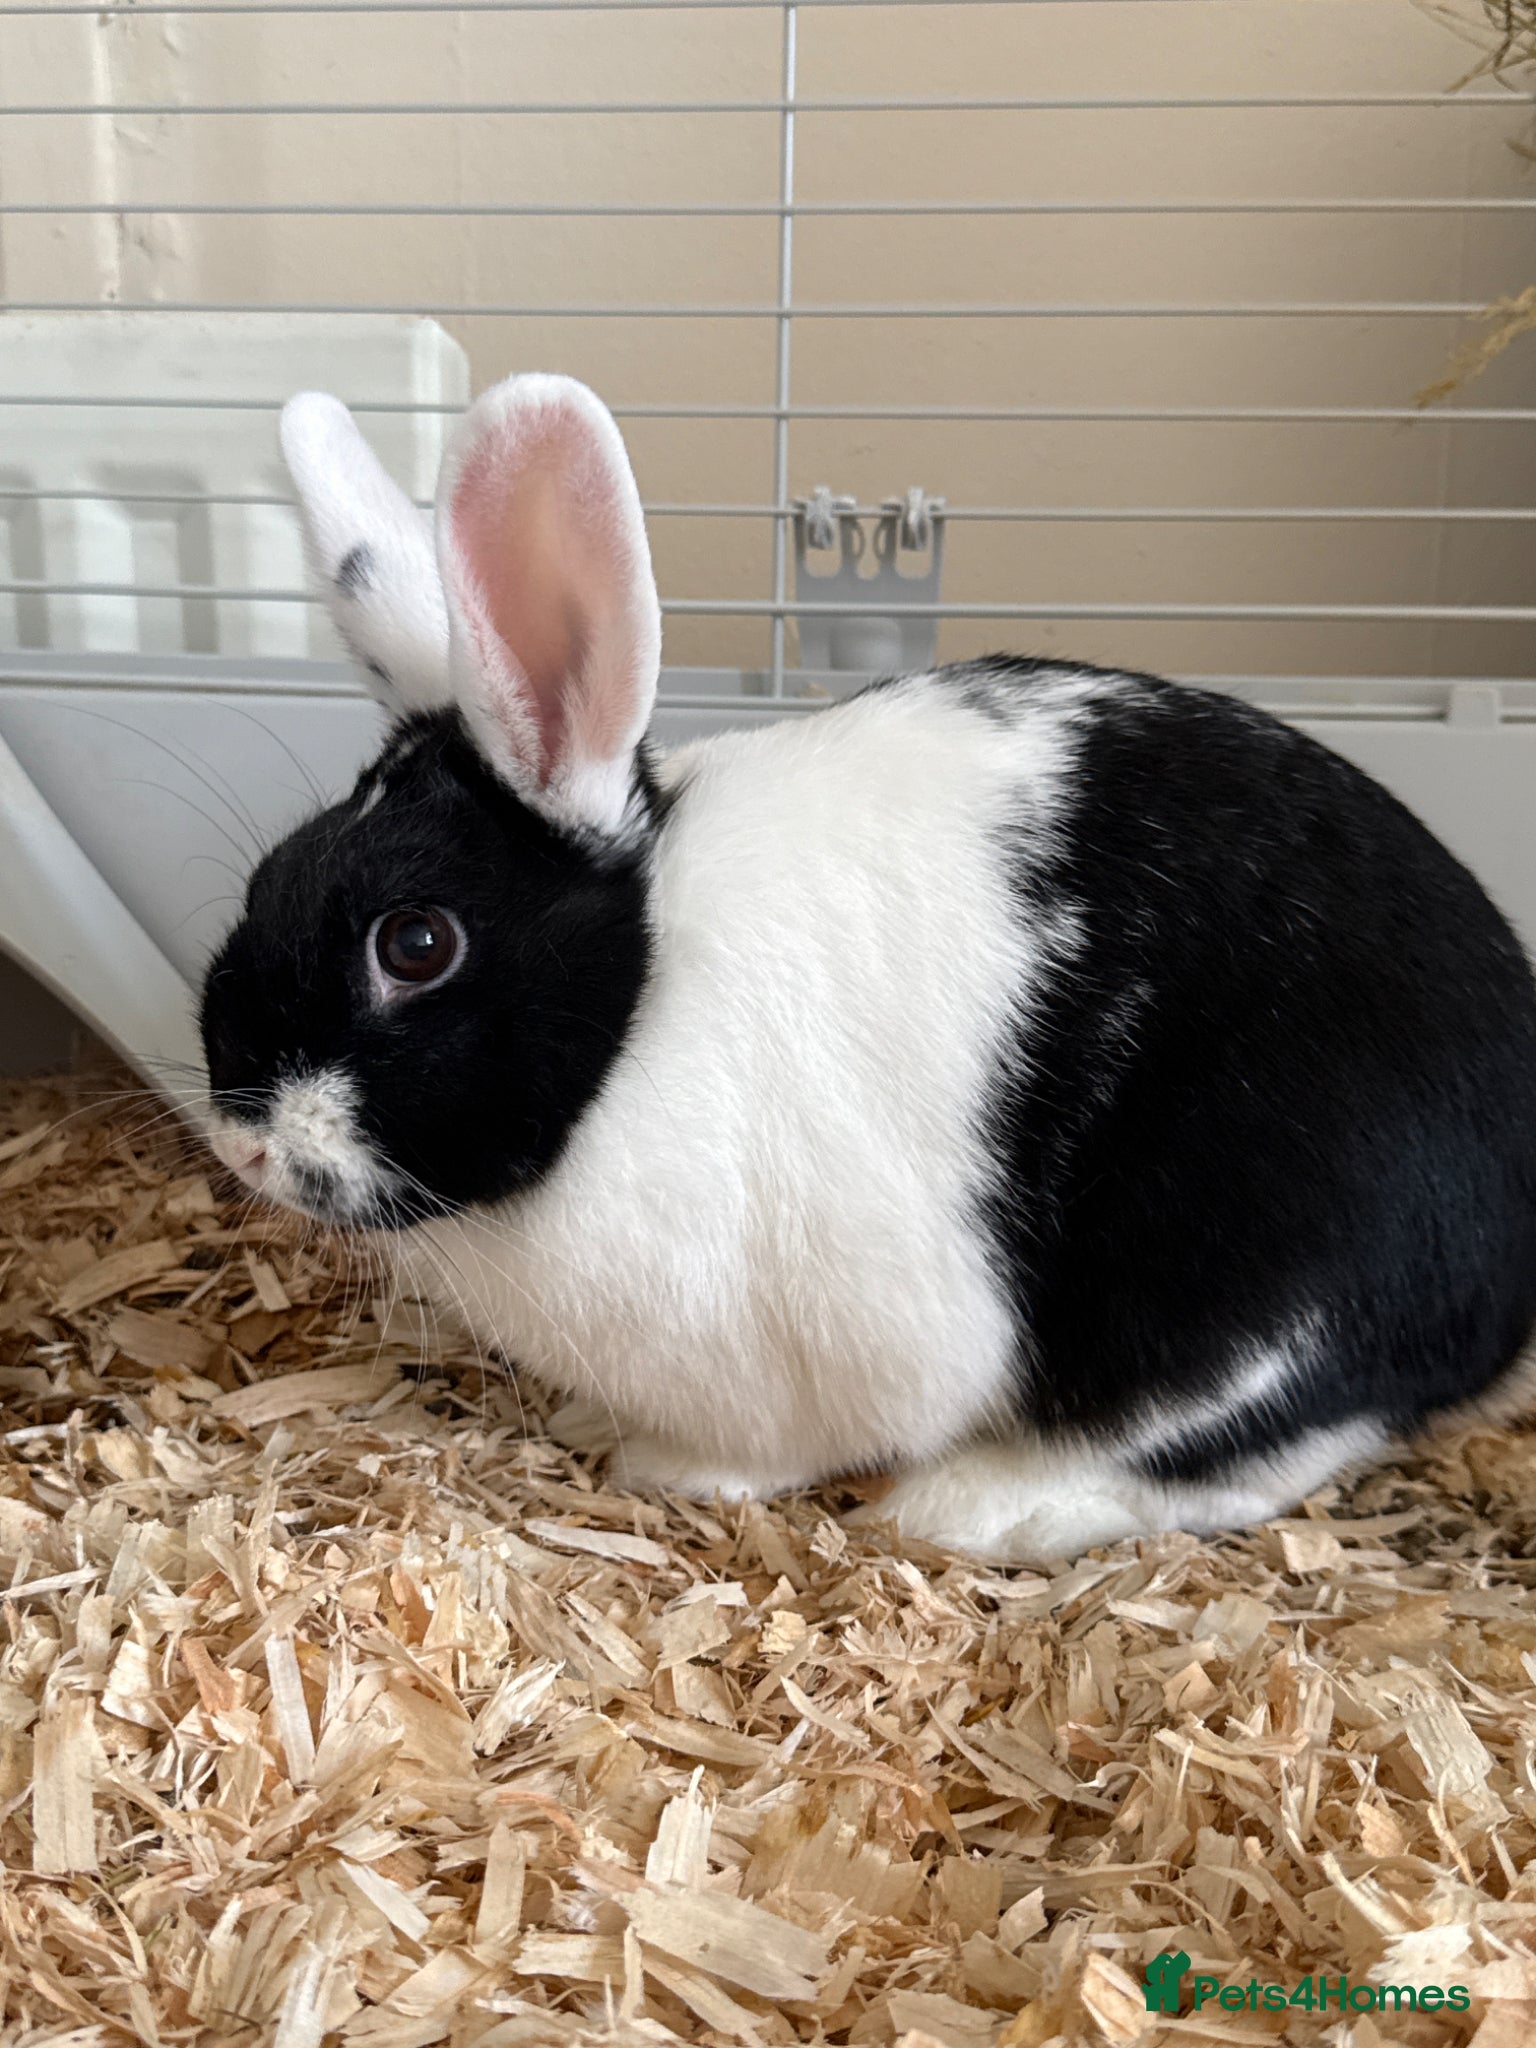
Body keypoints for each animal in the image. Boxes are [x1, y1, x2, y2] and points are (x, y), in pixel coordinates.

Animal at [199, 370, 1536, 1565]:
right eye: (266, 875)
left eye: (415, 943)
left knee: (1249, 1447)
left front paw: (667, 1465)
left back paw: (982, 1508)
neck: (636, 1023)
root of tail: (1499, 1292)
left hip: (1240, 1295)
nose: (244, 1137)